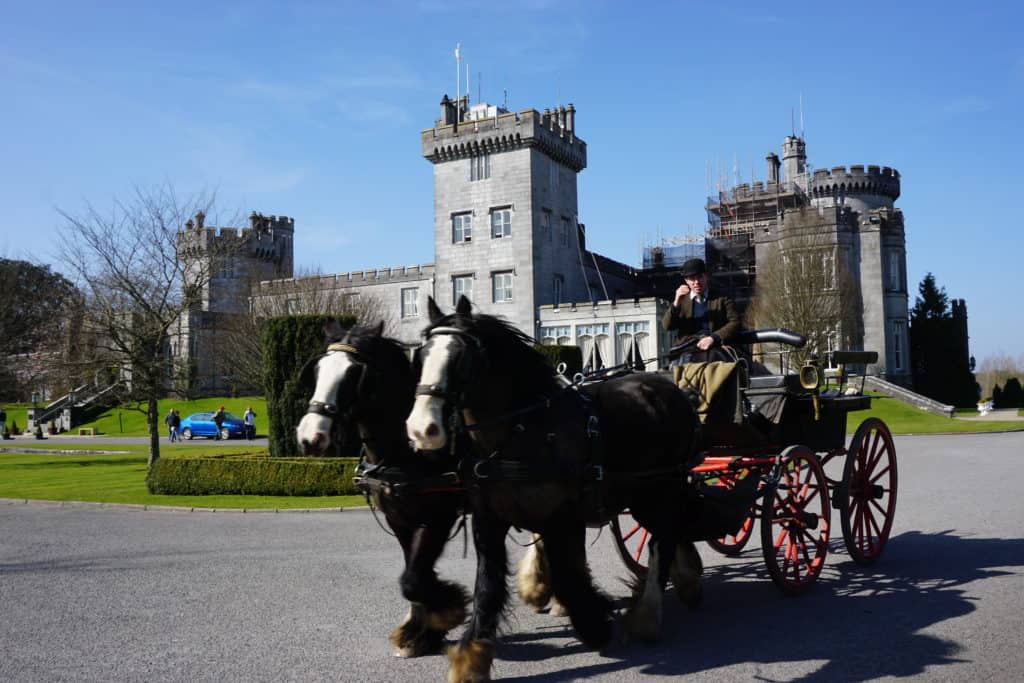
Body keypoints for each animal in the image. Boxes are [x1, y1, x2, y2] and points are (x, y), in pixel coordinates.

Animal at [294, 323, 468, 659]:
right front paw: (421, 631)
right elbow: (412, 571)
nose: (310, 437)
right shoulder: (398, 518)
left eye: (353, 373)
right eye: (318, 369)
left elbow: (413, 578)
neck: (408, 449)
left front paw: (446, 611)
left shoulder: (437, 517)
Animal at [407, 299, 704, 683]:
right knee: (672, 530)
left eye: (460, 358)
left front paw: (595, 625)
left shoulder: (561, 517)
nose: (421, 429)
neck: (521, 430)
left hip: (657, 489)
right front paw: (471, 658)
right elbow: (487, 586)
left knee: (662, 540)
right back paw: (683, 582)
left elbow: (566, 576)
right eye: (421, 356)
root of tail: (670, 387)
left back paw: (648, 616)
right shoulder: (489, 521)